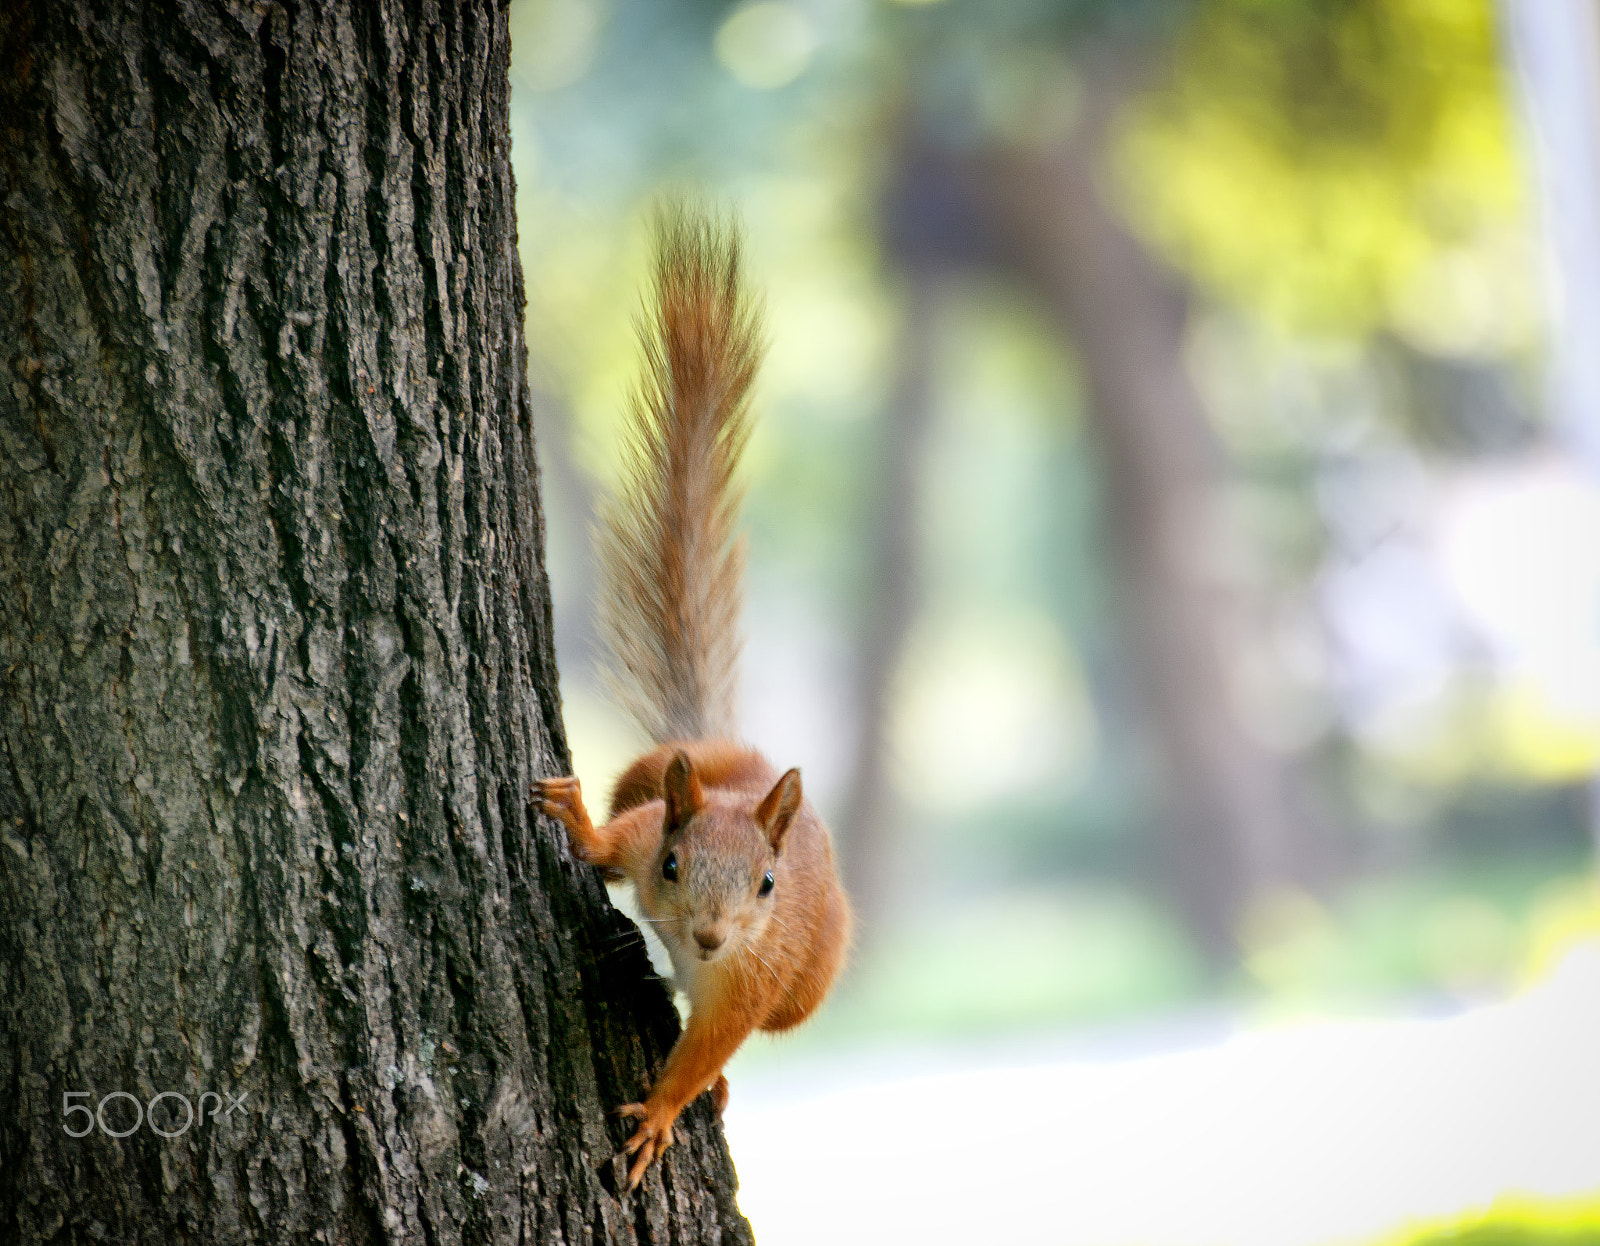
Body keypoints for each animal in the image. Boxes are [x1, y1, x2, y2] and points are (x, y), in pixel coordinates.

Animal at [533, 207, 852, 1191]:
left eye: (767, 886)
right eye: (673, 867)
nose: (709, 938)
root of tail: (739, 757)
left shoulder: (747, 985)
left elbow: (709, 1045)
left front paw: (666, 1111)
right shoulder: (651, 838)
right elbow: (613, 843)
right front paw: (577, 822)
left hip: (804, 987)